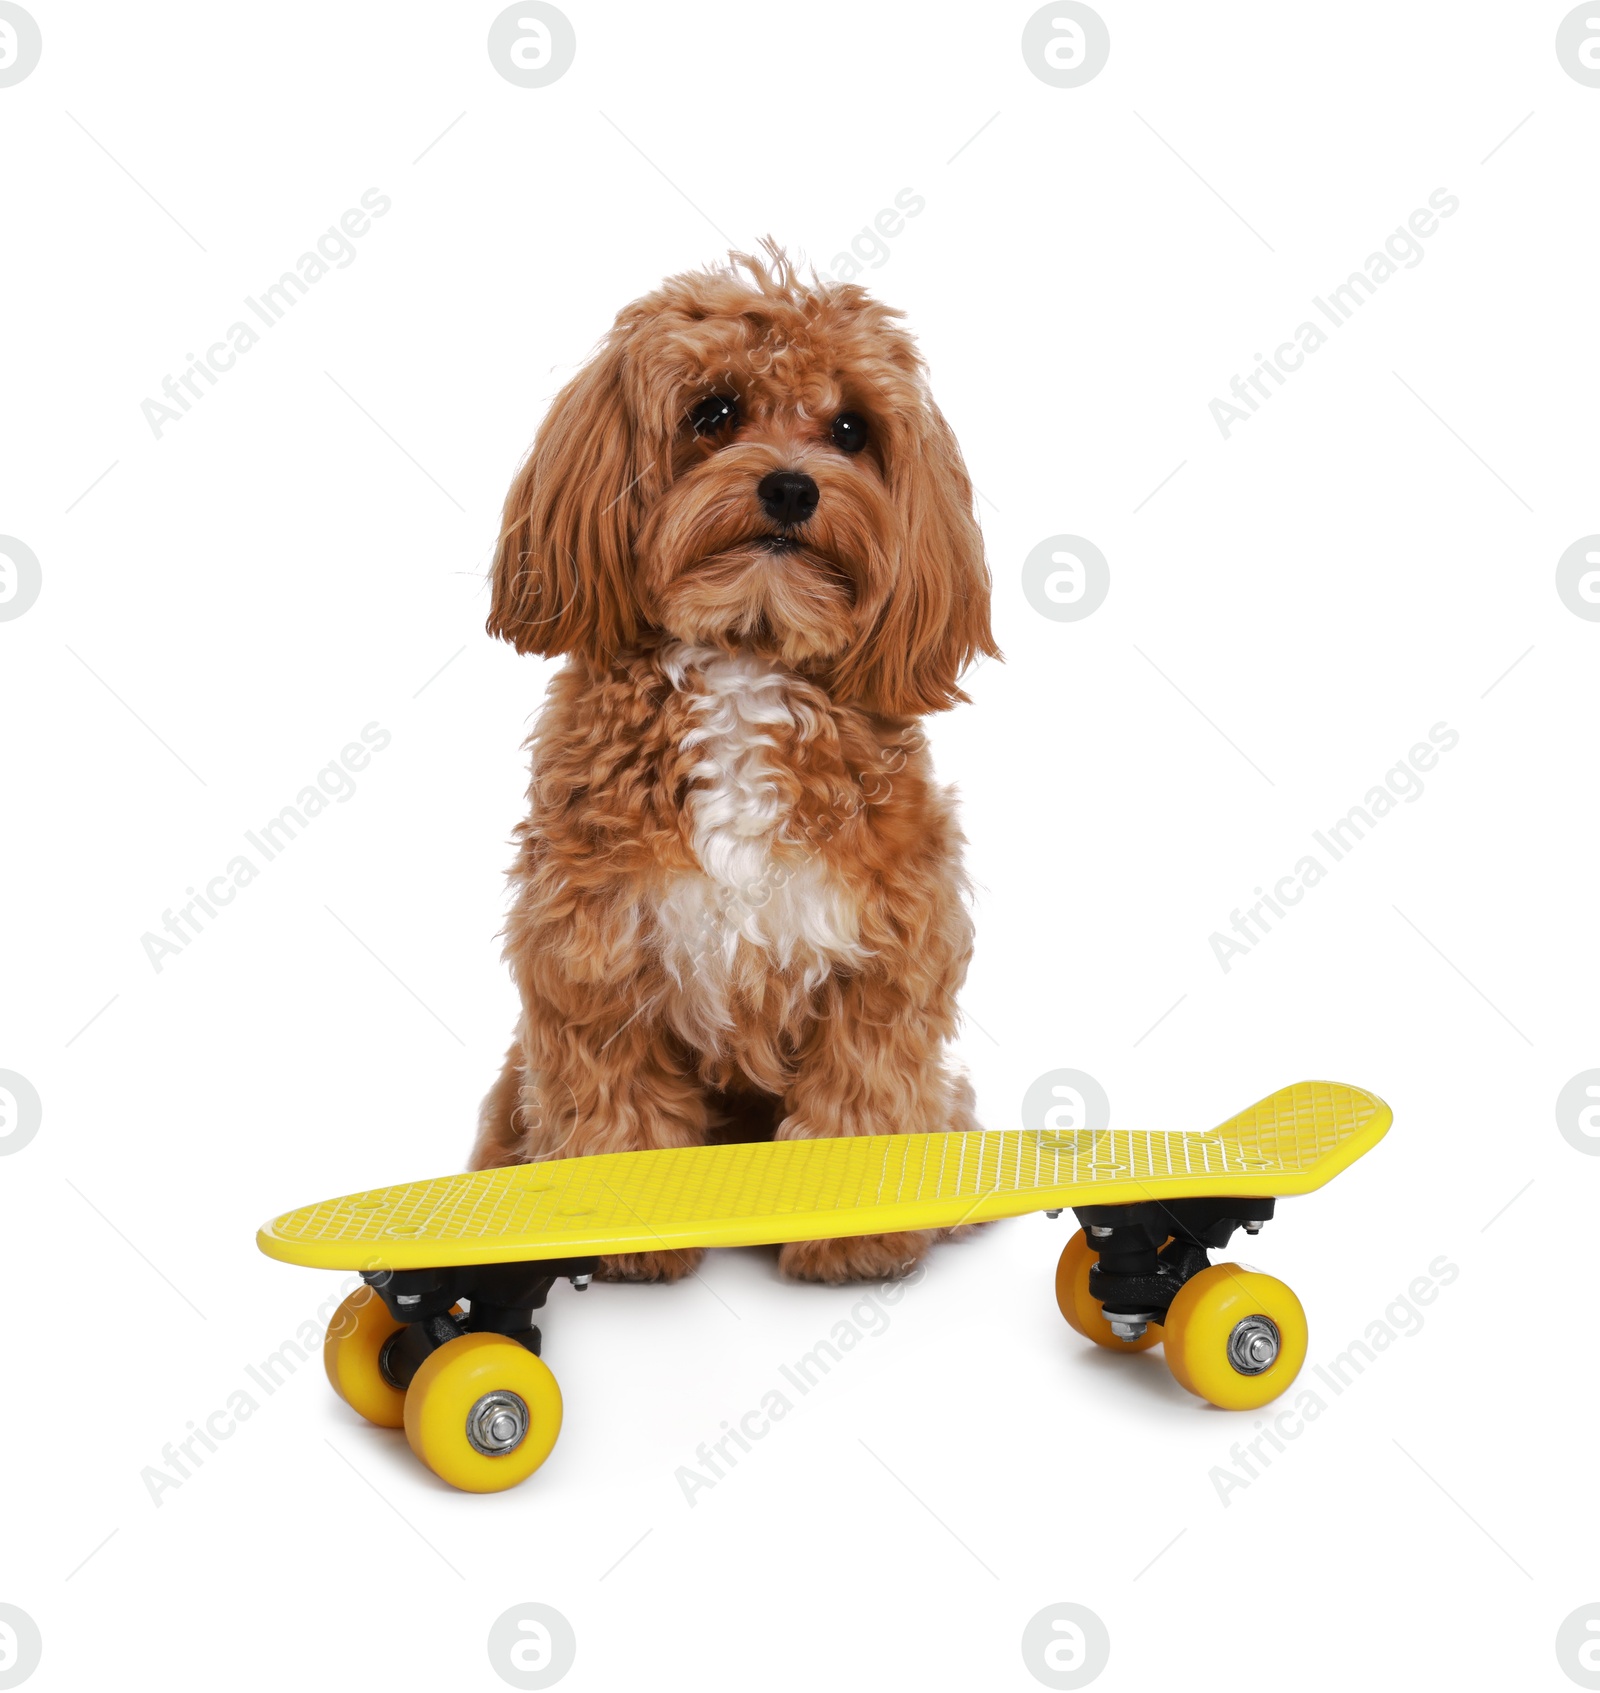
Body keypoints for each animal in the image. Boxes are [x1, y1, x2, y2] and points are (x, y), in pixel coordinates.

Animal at [467, 247, 995, 1279]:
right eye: (714, 411)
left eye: (851, 429)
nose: (792, 487)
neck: (746, 658)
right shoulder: (594, 954)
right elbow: (615, 1105)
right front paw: (629, 1242)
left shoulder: (884, 957)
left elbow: (862, 1097)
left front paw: (855, 1238)